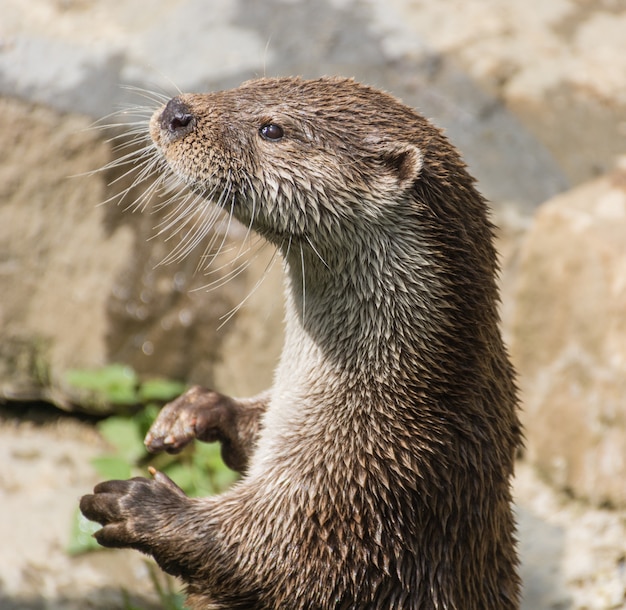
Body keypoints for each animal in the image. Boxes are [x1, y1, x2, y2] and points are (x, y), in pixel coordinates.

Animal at [81, 77, 520, 608]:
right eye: (245, 85)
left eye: (271, 129)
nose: (176, 112)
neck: (400, 391)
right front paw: (198, 409)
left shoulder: (371, 485)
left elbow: (277, 560)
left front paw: (139, 506)